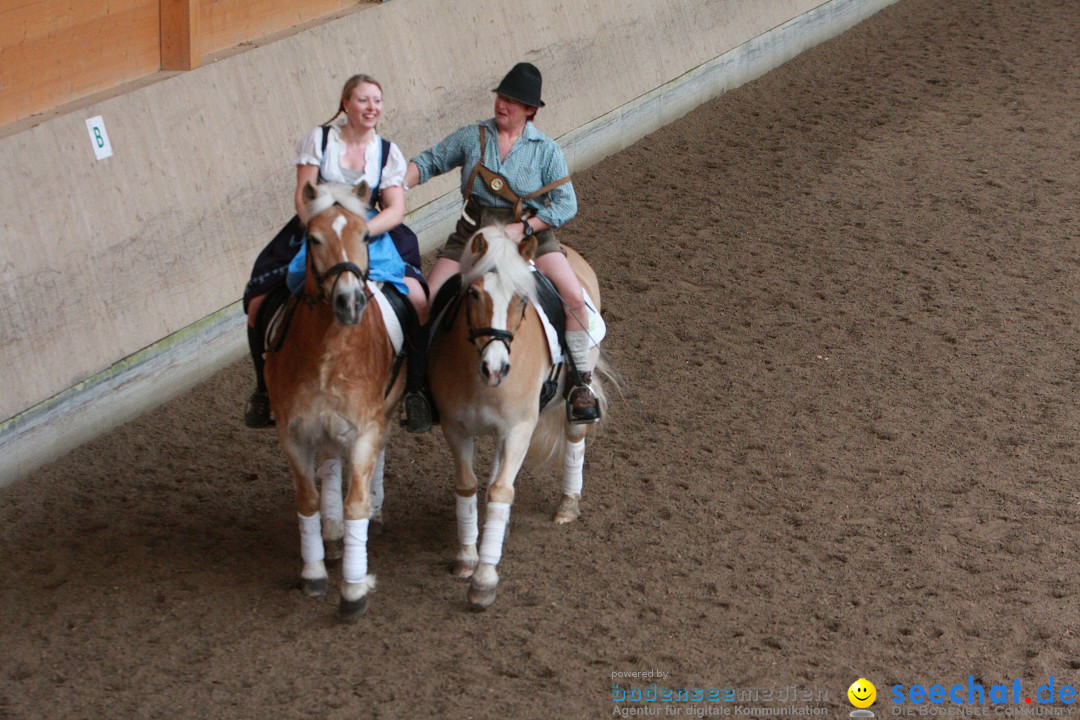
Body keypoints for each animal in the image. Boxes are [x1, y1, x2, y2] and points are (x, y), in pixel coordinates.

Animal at [264, 179, 406, 621]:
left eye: (365, 235)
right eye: (313, 238)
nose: (349, 302)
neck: (328, 351)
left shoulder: (364, 430)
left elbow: (355, 502)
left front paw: (354, 589)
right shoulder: (293, 433)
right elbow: (307, 498)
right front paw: (313, 571)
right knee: (328, 463)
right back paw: (331, 532)